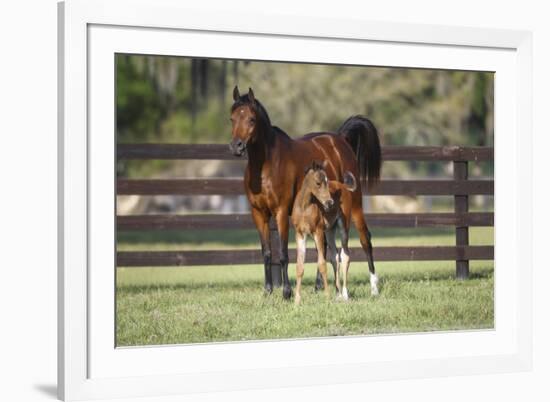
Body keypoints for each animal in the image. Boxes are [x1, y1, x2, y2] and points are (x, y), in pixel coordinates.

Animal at [231, 87, 382, 298]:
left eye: (251, 119)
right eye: (232, 118)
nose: (236, 146)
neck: (267, 165)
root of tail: (340, 140)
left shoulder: (280, 212)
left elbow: (284, 253)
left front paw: (286, 292)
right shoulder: (258, 213)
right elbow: (267, 253)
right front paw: (268, 291)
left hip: (355, 205)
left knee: (365, 239)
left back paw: (374, 288)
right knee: (325, 247)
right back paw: (321, 286)